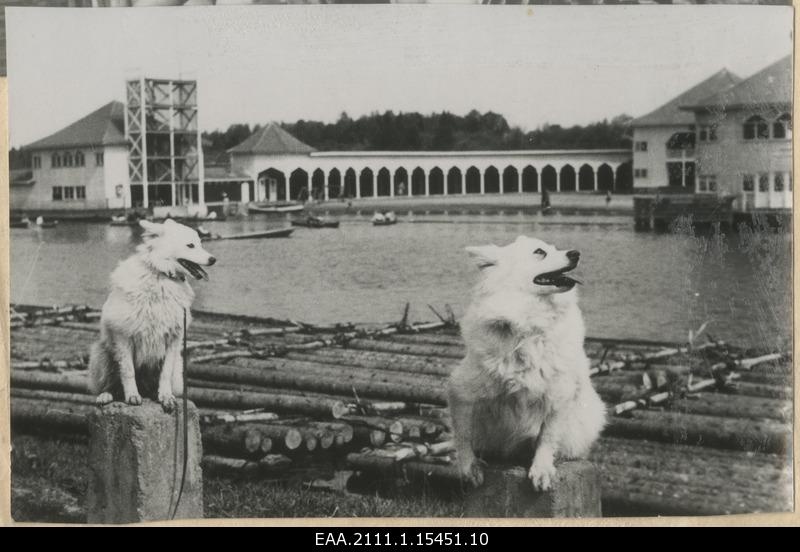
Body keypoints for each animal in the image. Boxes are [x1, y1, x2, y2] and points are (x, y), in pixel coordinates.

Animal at [88, 218, 216, 412]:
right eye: (191, 245)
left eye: (200, 244)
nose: (213, 259)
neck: (161, 275)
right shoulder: (123, 335)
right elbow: (128, 371)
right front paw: (132, 396)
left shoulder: (173, 339)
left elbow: (165, 373)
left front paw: (165, 397)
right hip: (101, 355)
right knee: (111, 384)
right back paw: (106, 395)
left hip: (178, 368)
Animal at [450, 235, 608, 490]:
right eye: (540, 252)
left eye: (555, 248)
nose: (576, 253)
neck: (528, 323)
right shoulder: (461, 389)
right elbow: (463, 434)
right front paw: (469, 468)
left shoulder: (558, 394)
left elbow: (547, 436)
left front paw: (542, 469)